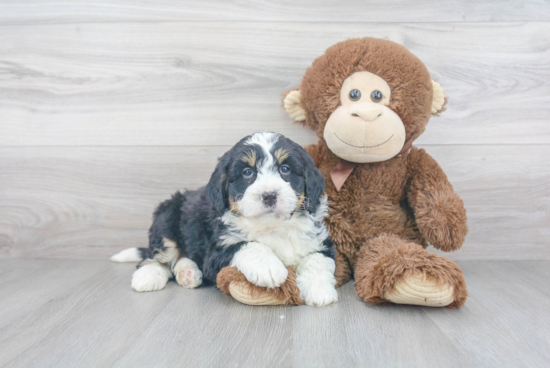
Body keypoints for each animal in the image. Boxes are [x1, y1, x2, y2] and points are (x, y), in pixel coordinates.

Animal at [110, 132, 338, 304]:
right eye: (247, 173)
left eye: (285, 169)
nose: (269, 195)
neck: (272, 227)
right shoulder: (216, 252)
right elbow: (248, 245)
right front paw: (269, 267)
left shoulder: (321, 241)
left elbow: (317, 259)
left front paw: (320, 290)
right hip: (166, 216)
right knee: (158, 254)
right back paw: (149, 275)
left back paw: (188, 273)